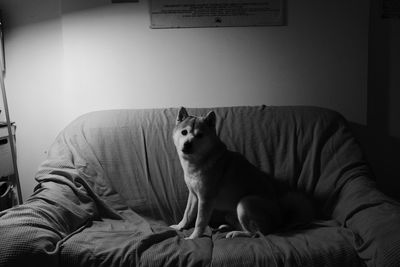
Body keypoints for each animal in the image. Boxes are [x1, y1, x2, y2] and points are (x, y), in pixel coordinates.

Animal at [170, 108, 316, 240]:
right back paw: (226, 227)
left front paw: (193, 237)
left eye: (200, 135)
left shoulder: (205, 199)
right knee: (247, 228)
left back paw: (235, 233)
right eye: (184, 132)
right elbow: (187, 214)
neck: (200, 160)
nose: (187, 144)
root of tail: (280, 219)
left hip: (244, 204)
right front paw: (179, 226)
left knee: (258, 233)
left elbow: (199, 221)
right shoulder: (193, 195)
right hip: (230, 213)